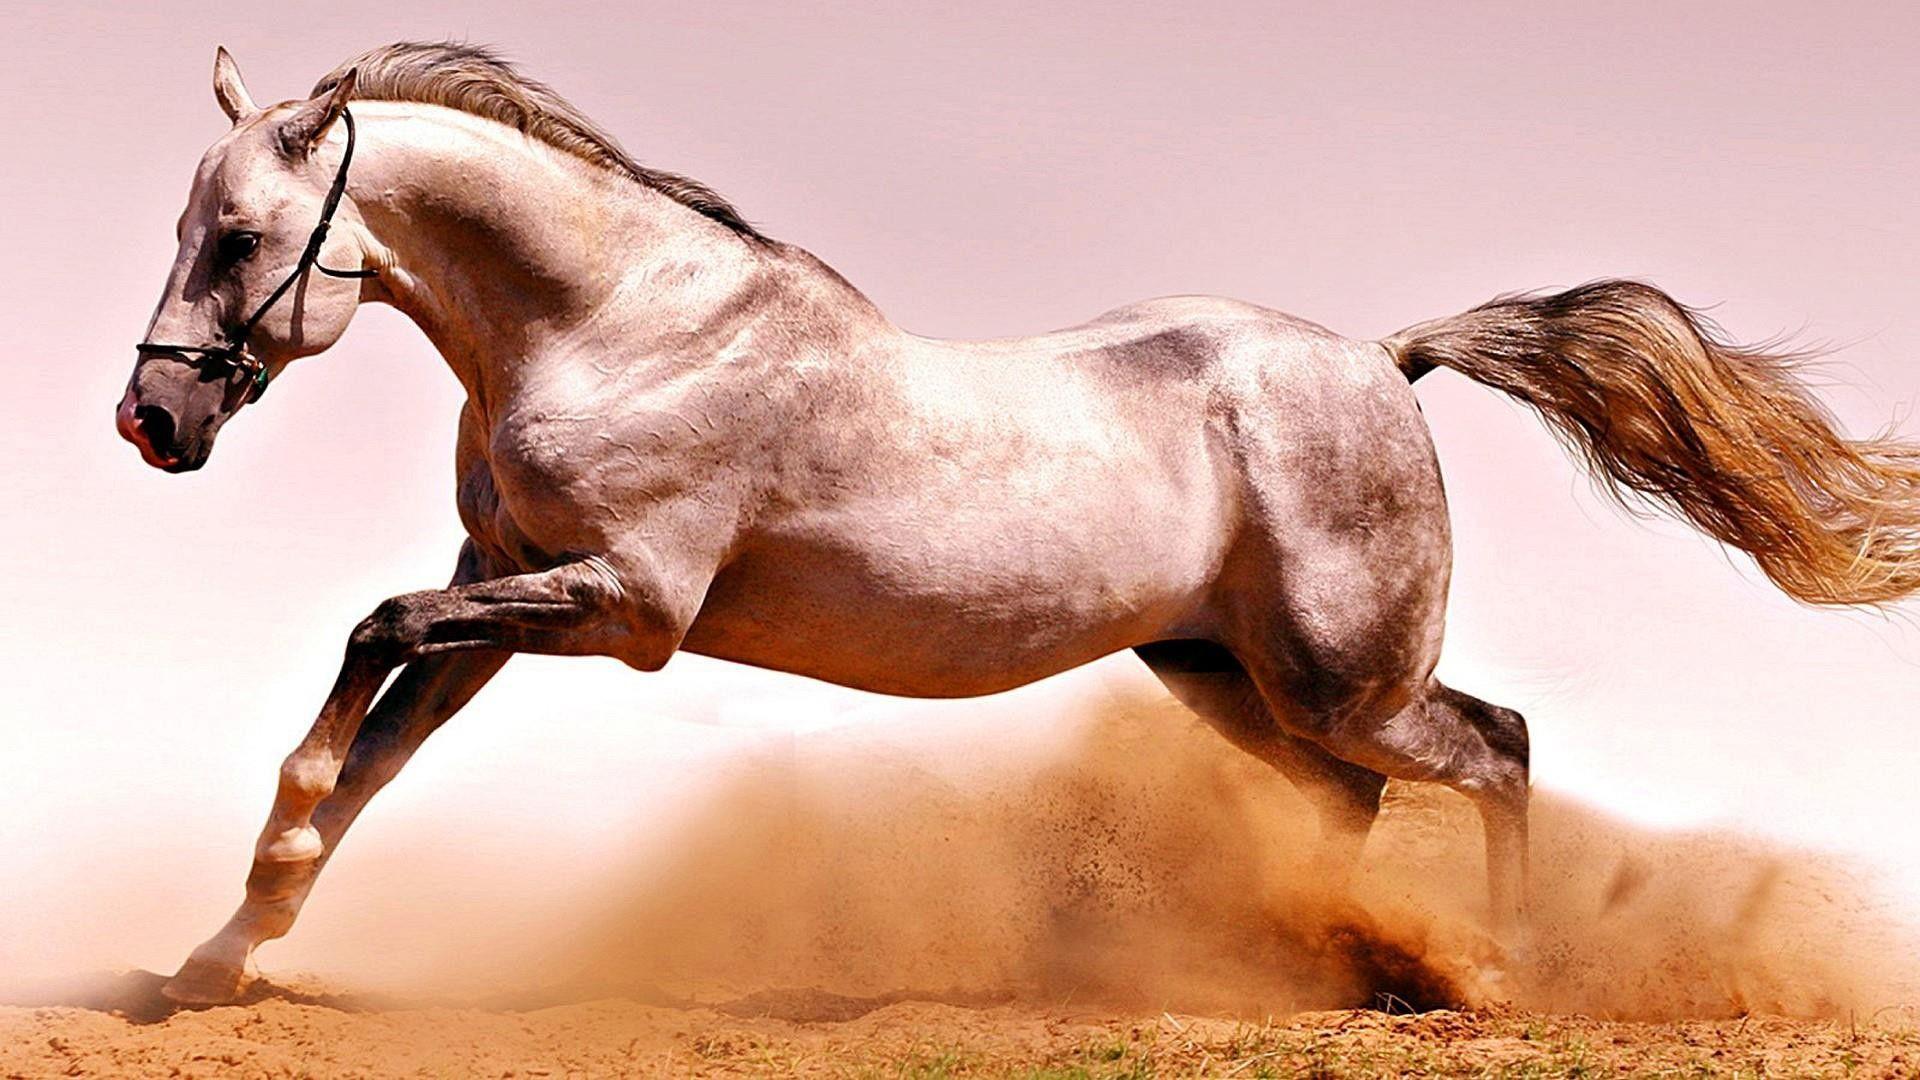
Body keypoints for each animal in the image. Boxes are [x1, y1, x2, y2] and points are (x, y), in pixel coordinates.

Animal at [120, 42, 1920, 1005]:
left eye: (243, 237)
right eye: (193, 225)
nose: (153, 422)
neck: (616, 321)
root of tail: (1386, 361)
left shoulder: (624, 606)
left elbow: (367, 645)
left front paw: (241, 913)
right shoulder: (503, 583)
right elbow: (372, 751)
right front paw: (215, 959)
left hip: (1345, 676)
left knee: (1498, 747)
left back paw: (1495, 970)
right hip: (1222, 674)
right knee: (1356, 799)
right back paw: (1315, 961)